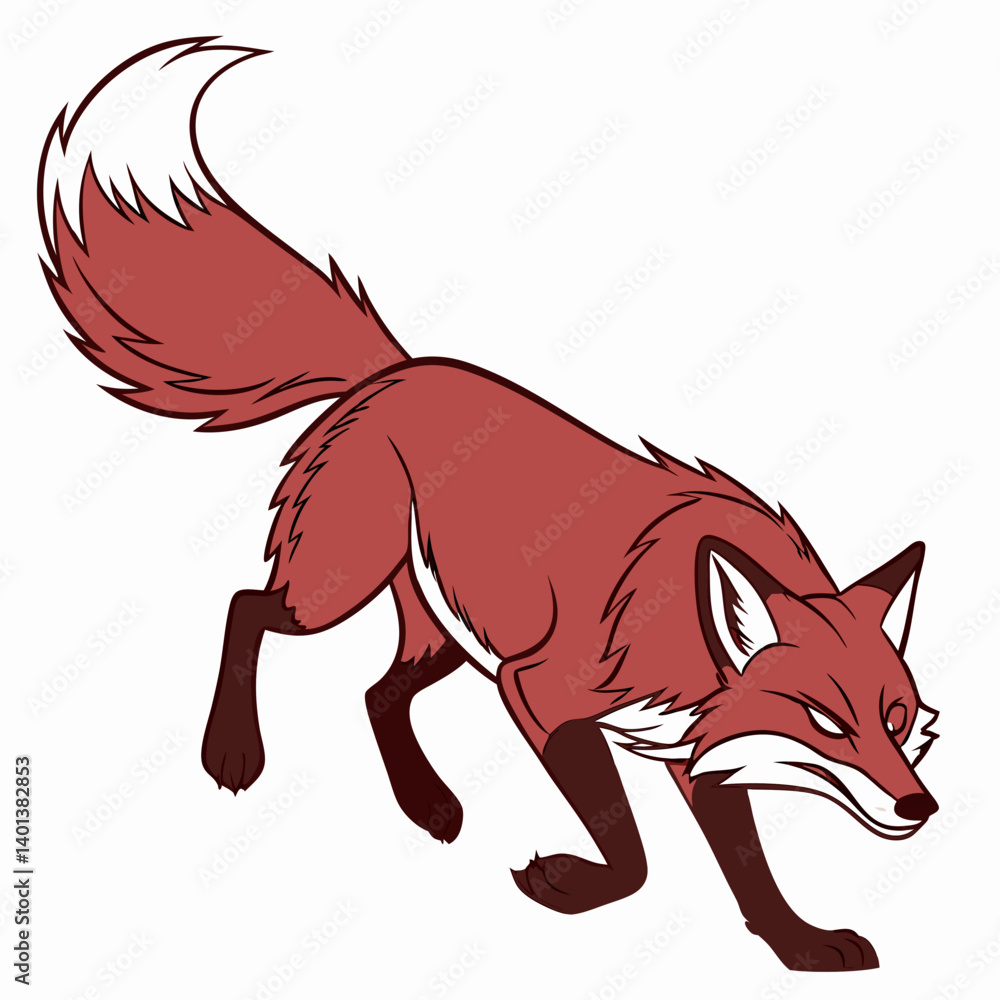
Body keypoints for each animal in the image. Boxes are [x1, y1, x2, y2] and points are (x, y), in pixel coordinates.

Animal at [38, 38, 939, 972]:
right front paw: (567, 885)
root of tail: (395, 369)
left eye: (898, 718)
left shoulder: (689, 737)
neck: (677, 619)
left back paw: (428, 805)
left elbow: (748, 869)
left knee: (377, 694)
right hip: (340, 588)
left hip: (445, 630)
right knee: (247, 607)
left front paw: (800, 946)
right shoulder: (539, 692)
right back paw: (233, 752)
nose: (921, 808)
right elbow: (634, 858)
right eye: (824, 720)